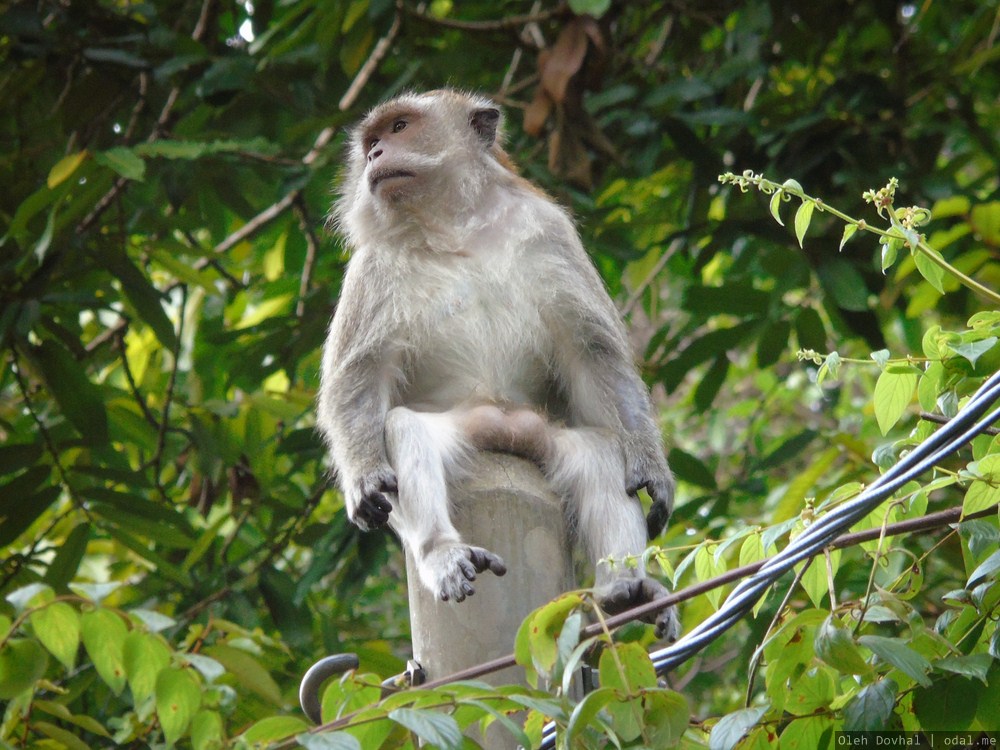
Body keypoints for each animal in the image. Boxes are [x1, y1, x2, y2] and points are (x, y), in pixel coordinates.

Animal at [320, 88, 680, 640]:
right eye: (371, 142)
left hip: (544, 437)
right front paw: (364, 478)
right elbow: (358, 379)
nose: (375, 154)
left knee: (600, 452)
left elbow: (593, 355)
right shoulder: (373, 265)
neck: (455, 225)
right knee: (405, 431)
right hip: (465, 430)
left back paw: (625, 588)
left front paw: (652, 470)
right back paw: (443, 554)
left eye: (399, 127)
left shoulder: (549, 232)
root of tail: (506, 430)